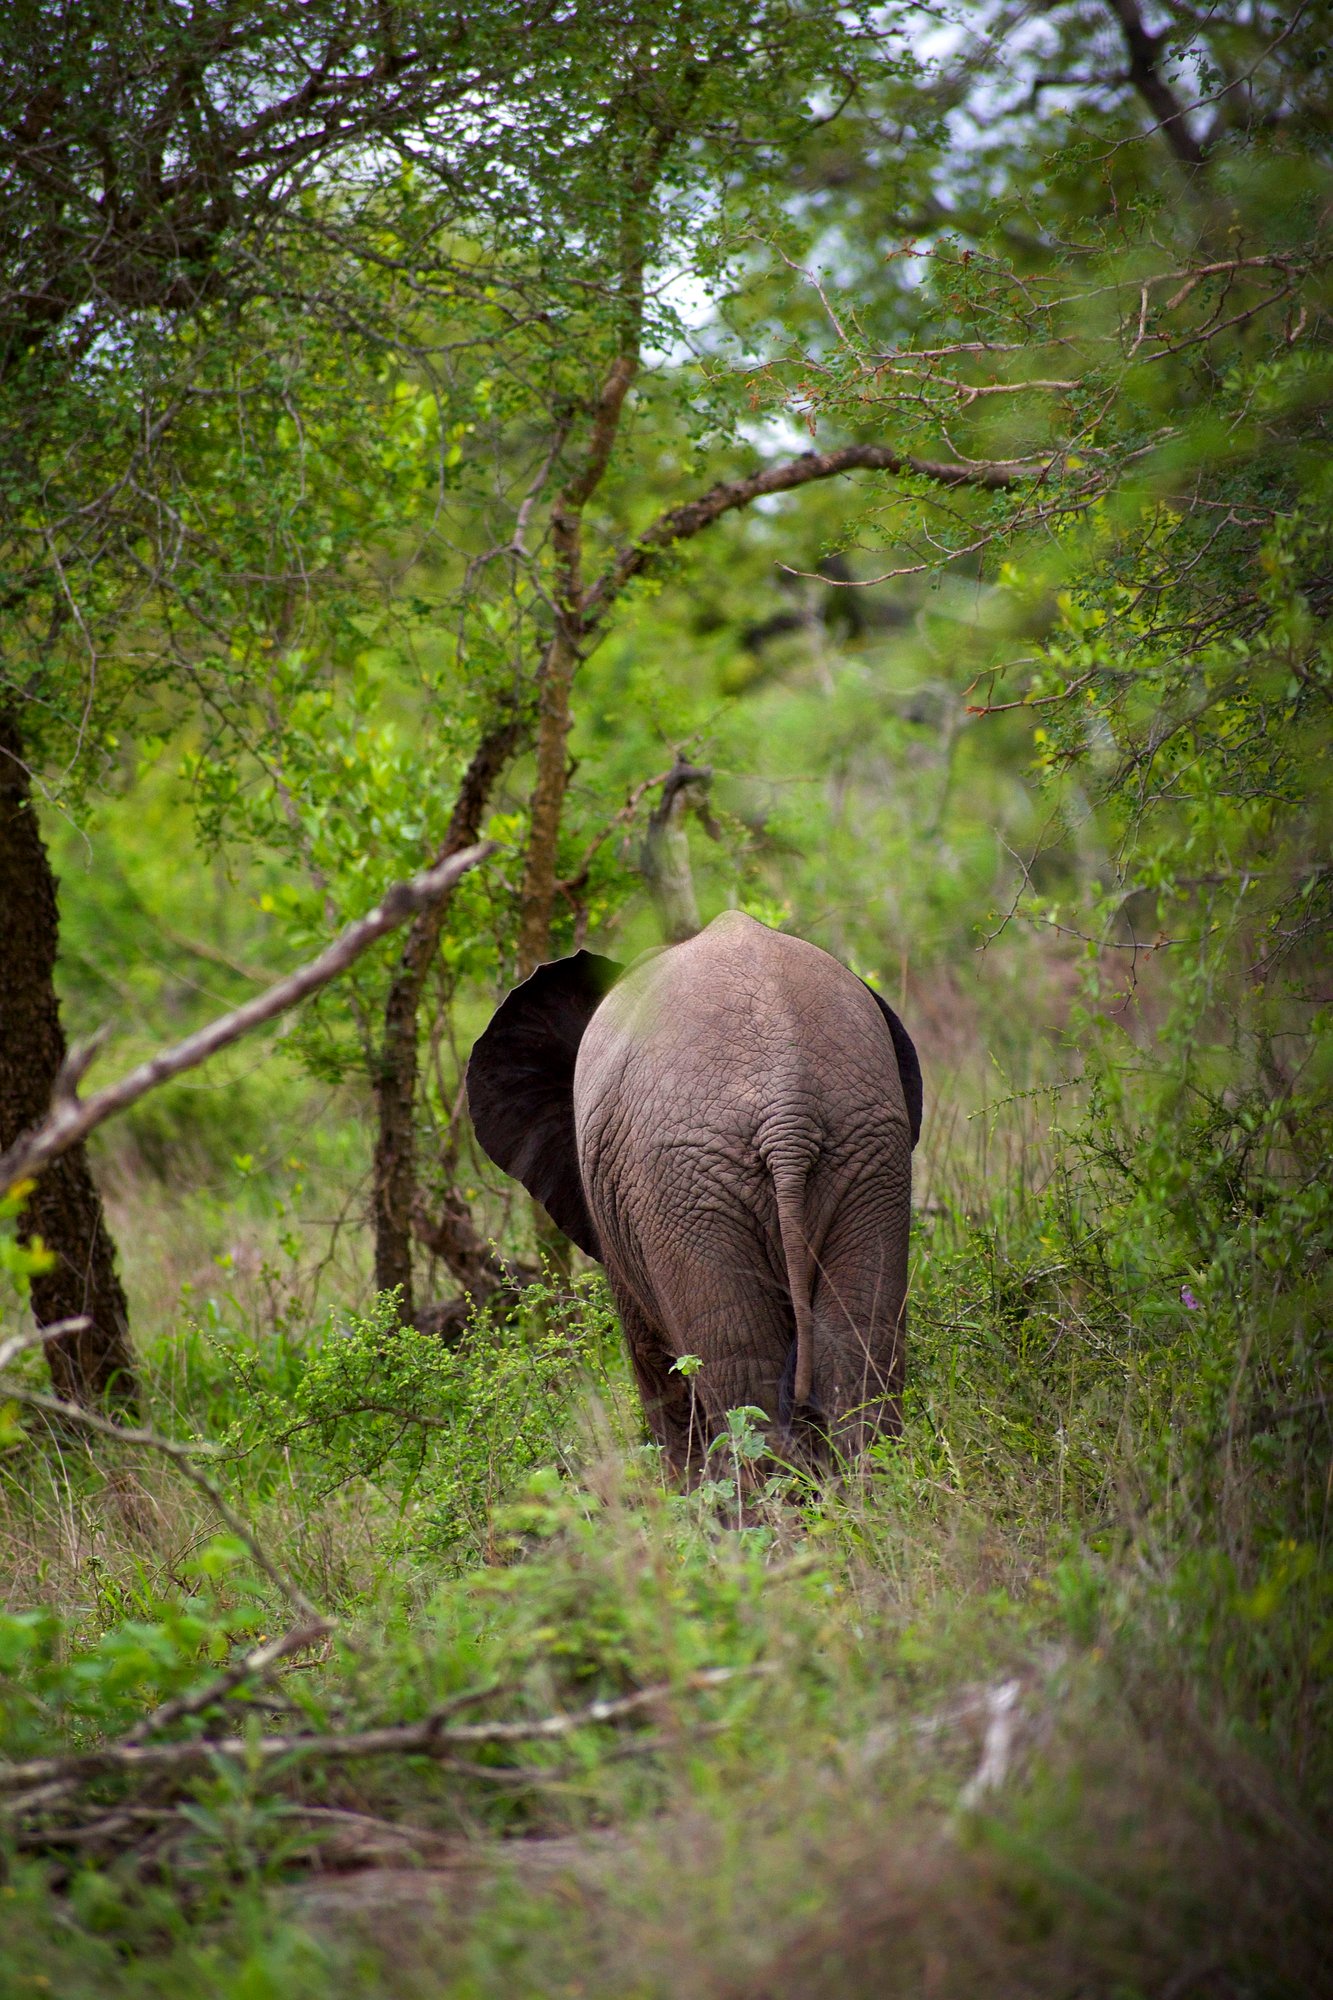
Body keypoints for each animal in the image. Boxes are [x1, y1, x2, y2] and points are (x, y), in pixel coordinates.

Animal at [466, 910, 921, 1472]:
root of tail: (787, 1114)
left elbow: (656, 1369)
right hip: (862, 1154)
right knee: (858, 1354)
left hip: (684, 1186)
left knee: (739, 1376)